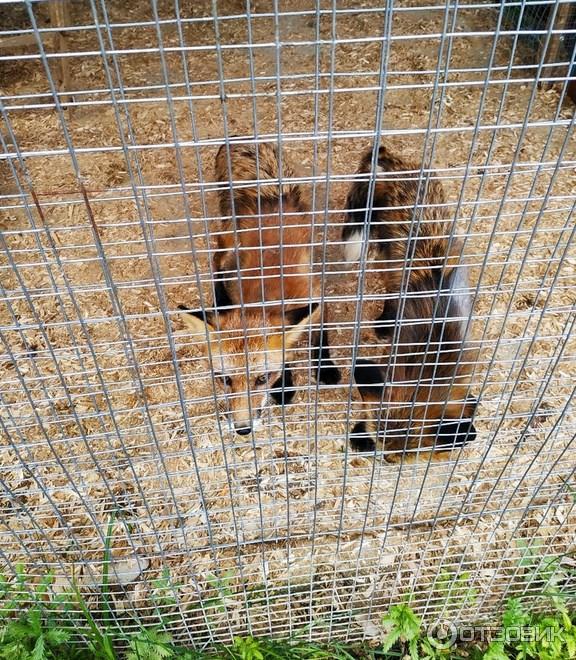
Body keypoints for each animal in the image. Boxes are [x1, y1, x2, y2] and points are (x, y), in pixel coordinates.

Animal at [180, 142, 340, 436]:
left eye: (262, 378)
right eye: (224, 380)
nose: (243, 429)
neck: (272, 294)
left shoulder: (315, 297)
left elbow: (319, 339)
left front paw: (325, 369)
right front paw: (286, 385)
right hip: (229, 241)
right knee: (216, 260)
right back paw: (219, 297)